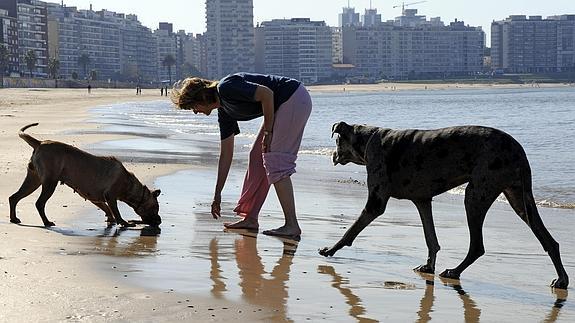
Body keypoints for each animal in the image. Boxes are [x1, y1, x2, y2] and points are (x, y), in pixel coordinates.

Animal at [9, 123, 162, 228]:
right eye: (155, 208)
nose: (160, 221)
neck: (129, 185)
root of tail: (40, 143)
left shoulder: (96, 197)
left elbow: (107, 209)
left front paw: (111, 219)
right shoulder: (111, 196)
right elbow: (116, 211)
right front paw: (124, 222)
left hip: (33, 180)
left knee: (14, 197)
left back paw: (14, 218)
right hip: (50, 182)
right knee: (39, 203)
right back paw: (46, 222)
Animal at [322, 123, 568, 290]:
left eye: (336, 141)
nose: (332, 155)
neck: (368, 140)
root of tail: (518, 150)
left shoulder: (376, 202)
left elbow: (351, 230)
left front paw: (330, 249)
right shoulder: (422, 201)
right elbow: (431, 238)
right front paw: (428, 266)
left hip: (476, 194)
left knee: (477, 246)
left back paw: (454, 271)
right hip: (519, 199)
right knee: (550, 241)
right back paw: (562, 279)